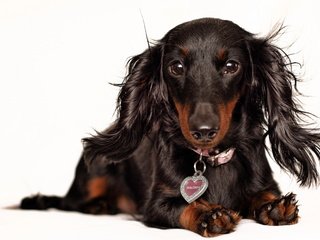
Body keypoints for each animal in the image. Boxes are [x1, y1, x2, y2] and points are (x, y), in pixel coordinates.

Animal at [21, 18, 318, 236]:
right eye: (176, 67)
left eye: (231, 66)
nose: (203, 131)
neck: (212, 160)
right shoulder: (156, 205)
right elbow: (182, 207)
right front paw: (208, 213)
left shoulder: (264, 182)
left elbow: (264, 195)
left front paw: (274, 206)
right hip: (95, 171)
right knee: (72, 202)